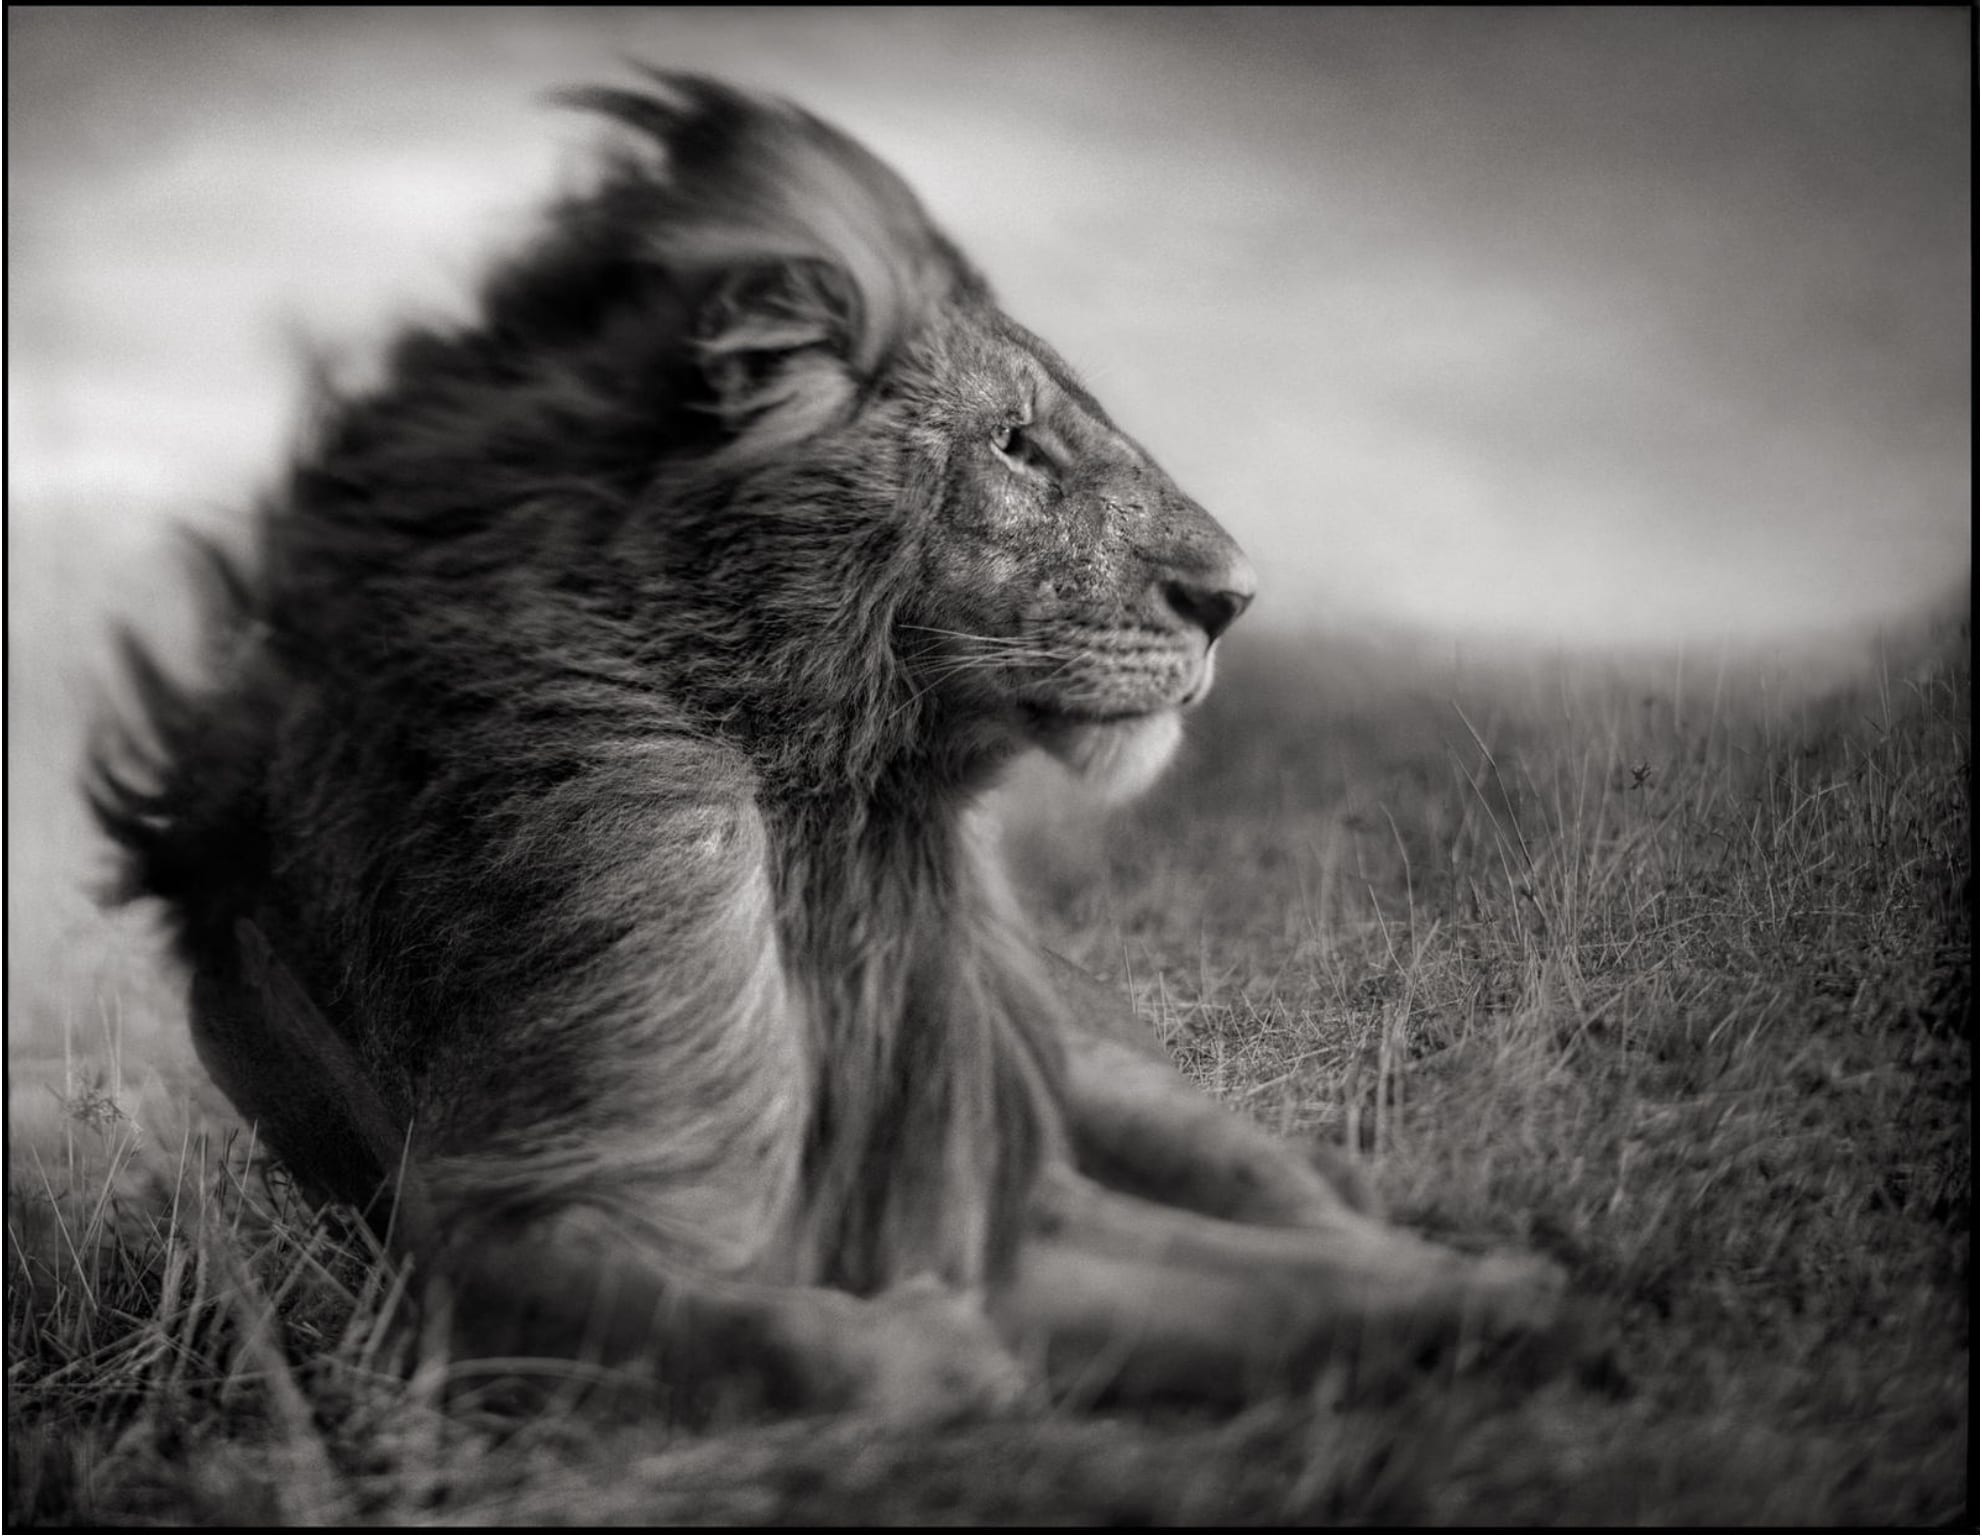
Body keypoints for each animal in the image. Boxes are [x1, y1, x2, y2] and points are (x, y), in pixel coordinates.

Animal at [89, 72, 1561, 1419]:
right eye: (1016, 445)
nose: (1234, 599)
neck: (828, 814)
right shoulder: (493, 1236)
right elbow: (773, 1336)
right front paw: (939, 1356)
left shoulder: (995, 1190)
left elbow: (1304, 1285)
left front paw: (1514, 1297)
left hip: (1102, 1074)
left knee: (1290, 1184)